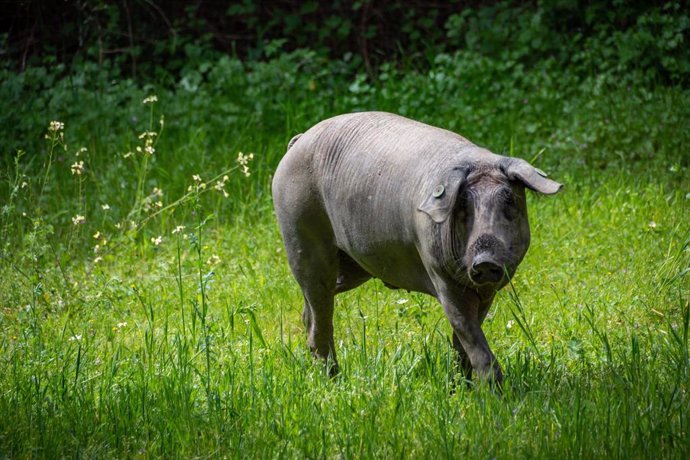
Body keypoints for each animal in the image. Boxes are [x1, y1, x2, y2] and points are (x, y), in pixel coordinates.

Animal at [268, 111, 560, 384]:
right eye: (463, 205)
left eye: (509, 200)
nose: (485, 260)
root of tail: (298, 140)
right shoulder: (439, 275)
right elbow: (469, 333)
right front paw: (495, 392)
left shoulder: (488, 290)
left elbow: (464, 341)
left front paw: (462, 385)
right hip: (300, 232)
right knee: (319, 310)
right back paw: (333, 379)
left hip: (353, 267)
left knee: (311, 309)